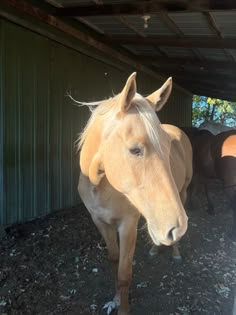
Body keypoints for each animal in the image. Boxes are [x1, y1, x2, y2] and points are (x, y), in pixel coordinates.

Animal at [78, 74, 193, 315]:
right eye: (134, 150)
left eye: (168, 146)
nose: (175, 227)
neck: (100, 186)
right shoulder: (100, 222)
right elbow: (114, 261)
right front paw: (114, 299)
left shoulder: (128, 224)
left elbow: (124, 273)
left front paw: (123, 308)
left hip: (182, 193)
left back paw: (175, 252)